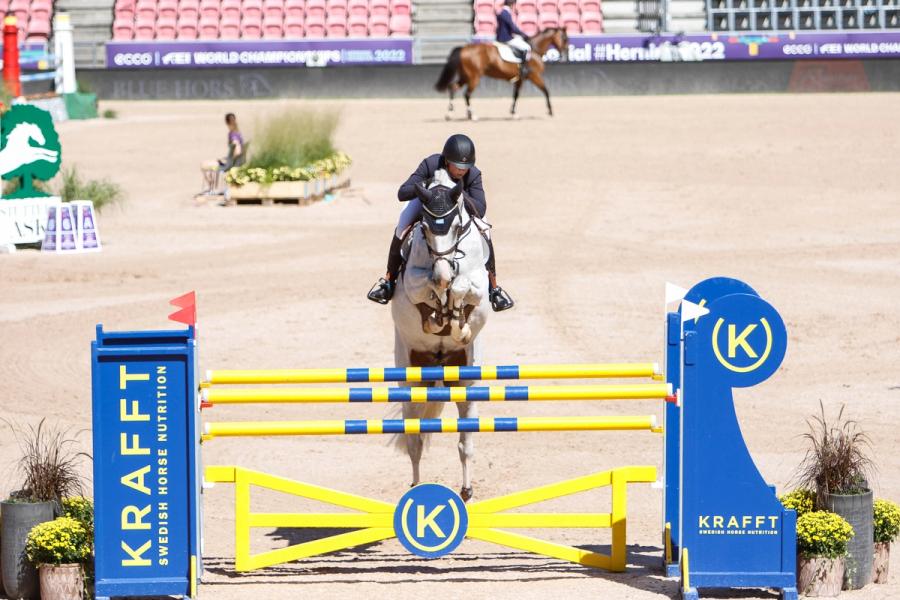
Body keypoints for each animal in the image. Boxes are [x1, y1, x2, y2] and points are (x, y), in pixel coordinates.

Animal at [390, 175, 488, 502]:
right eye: (425, 228)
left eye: (457, 227)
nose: (443, 272)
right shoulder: (412, 282)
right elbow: (426, 287)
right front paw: (438, 312)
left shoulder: (479, 284)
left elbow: (462, 287)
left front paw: (458, 323)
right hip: (410, 381)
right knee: (415, 443)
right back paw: (416, 486)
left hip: (466, 383)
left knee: (465, 444)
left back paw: (467, 490)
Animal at [432, 28, 568, 120]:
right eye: (565, 38)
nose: (565, 54)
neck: (534, 49)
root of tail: (464, 48)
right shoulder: (534, 76)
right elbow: (546, 90)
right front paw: (550, 111)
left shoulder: (520, 79)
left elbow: (515, 95)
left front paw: (513, 113)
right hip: (474, 77)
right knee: (467, 94)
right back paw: (472, 115)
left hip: (466, 76)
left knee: (453, 88)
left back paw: (449, 114)